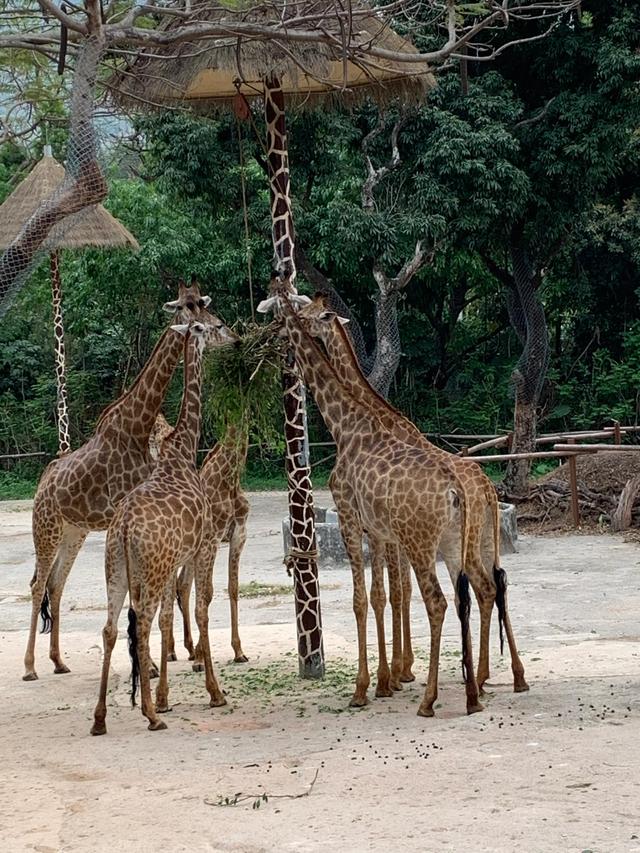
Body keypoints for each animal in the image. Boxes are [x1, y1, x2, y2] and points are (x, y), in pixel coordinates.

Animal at [23, 278, 232, 680]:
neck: (139, 422)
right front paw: (153, 663)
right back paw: (29, 667)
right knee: (38, 583)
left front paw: (160, 659)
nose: (224, 328)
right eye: (187, 307)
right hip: (47, 528)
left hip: (75, 532)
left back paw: (58, 661)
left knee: (56, 585)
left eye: (202, 301)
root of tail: (43, 483)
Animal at [92, 320, 238, 732]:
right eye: (217, 326)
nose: (236, 340)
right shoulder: (203, 545)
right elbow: (201, 607)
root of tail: (124, 527)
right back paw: (150, 715)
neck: (183, 449)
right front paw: (213, 692)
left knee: (111, 628)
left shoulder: (176, 558)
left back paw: (100, 718)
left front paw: (166, 694)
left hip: (116, 569)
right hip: (150, 570)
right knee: (140, 622)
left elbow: (172, 614)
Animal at [260, 290, 480, 716]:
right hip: (450, 542)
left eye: (289, 317)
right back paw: (474, 693)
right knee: (467, 596)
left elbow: (365, 599)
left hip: (421, 542)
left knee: (439, 601)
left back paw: (430, 699)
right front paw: (388, 678)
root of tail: (455, 491)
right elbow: (384, 595)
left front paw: (368, 686)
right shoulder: (378, 531)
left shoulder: (350, 517)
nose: (264, 339)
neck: (346, 426)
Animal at [298, 292, 528, 692]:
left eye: (313, 313)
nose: (296, 319)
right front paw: (400, 670)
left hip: (456, 542)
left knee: (475, 589)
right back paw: (510, 674)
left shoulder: (388, 532)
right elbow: (400, 590)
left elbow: (395, 591)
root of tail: (486, 489)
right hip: (484, 538)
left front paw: (397, 672)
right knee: (495, 584)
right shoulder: (392, 534)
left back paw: (480, 675)